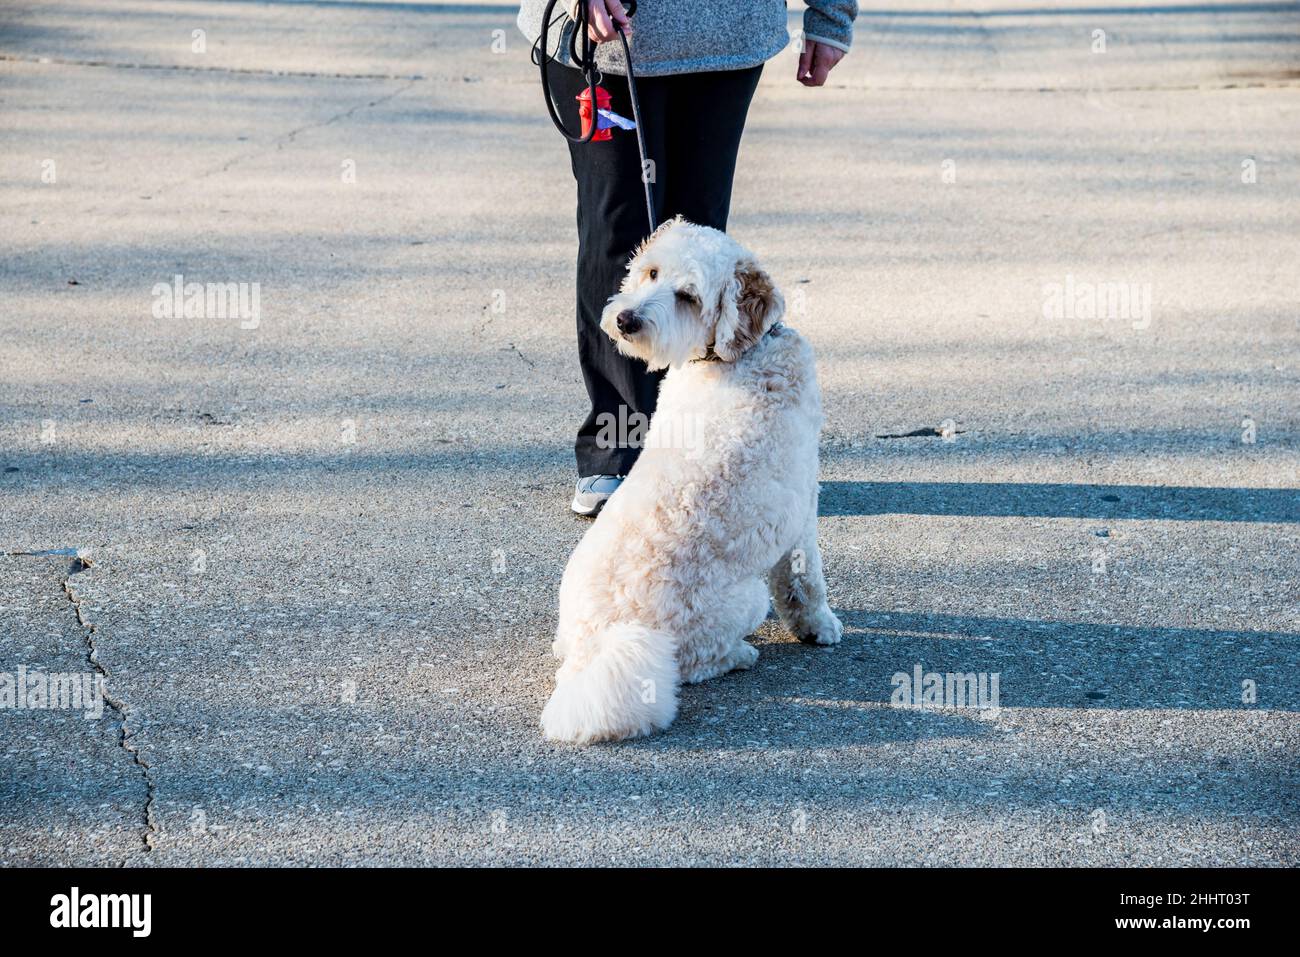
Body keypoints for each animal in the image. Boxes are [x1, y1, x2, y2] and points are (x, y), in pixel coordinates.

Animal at [540, 218, 837, 748]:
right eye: (652, 272)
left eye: (687, 296)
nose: (626, 320)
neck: (737, 356)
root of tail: (599, 643)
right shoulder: (802, 507)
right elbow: (804, 582)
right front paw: (819, 626)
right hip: (742, 601)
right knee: (695, 663)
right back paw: (738, 655)